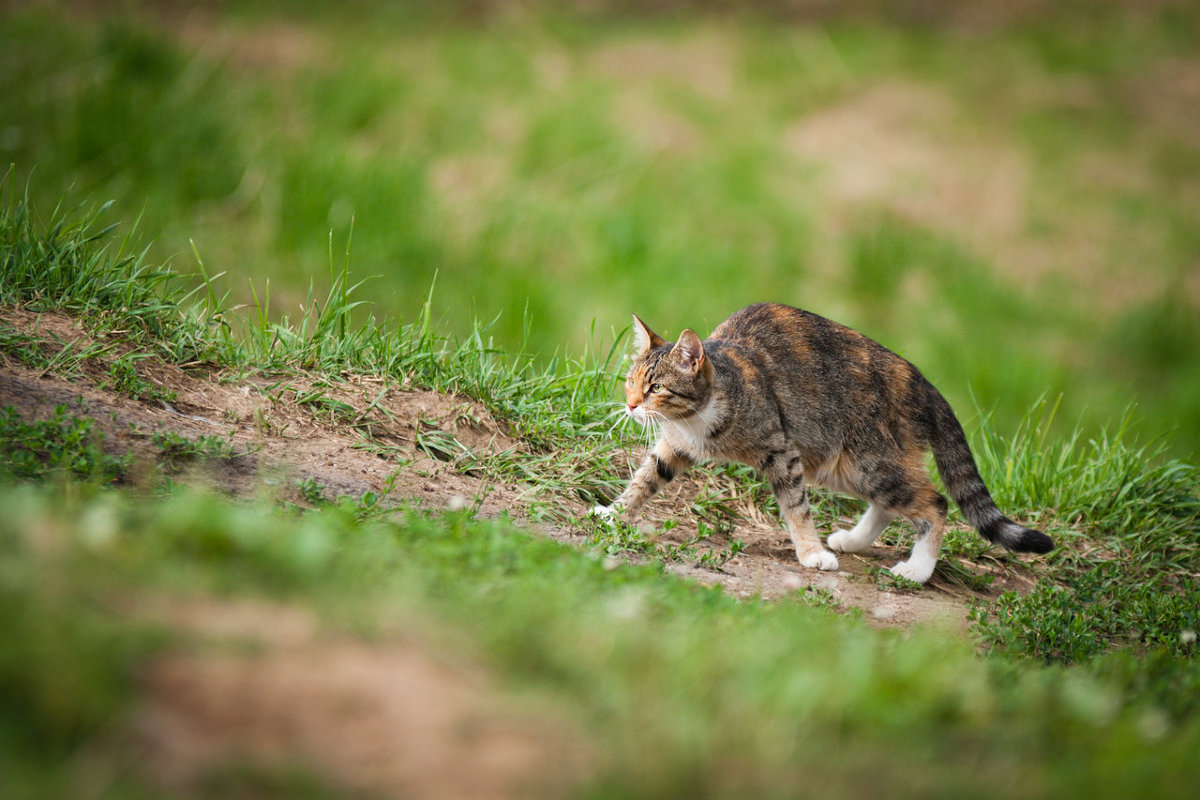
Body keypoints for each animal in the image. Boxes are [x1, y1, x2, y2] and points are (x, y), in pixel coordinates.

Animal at [590, 303, 1051, 585]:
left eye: (656, 388)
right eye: (631, 381)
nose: (630, 405)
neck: (697, 417)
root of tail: (924, 385)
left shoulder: (782, 451)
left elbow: (796, 507)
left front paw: (811, 554)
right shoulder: (674, 448)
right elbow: (646, 479)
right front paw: (613, 512)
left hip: (864, 460)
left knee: (934, 503)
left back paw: (917, 571)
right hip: (844, 466)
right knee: (892, 504)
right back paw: (854, 542)